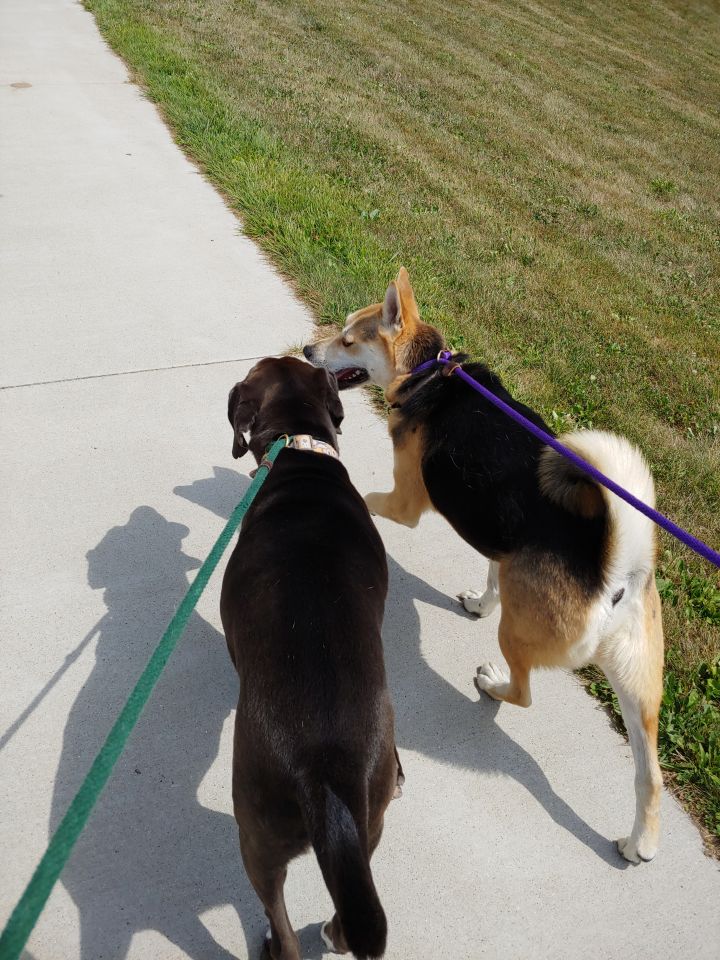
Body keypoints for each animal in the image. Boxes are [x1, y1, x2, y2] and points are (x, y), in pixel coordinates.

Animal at [219, 356, 400, 956]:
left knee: (278, 918)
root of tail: (324, 770)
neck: (300, 452)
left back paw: (277, 943)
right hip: (371, 819)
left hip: (256, 834)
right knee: (354, 912)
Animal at [304, 268, 664, 864]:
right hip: (638, 687)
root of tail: (611, 572)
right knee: (649, 777)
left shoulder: (406, 503)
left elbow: (366, 496)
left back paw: (493, 685)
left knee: (524, 693)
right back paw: (639, 843)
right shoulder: (500, 543)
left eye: (349, 341)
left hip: (518, 634)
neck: (429, 373)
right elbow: (493, 573)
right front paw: (478, 599)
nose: (309, 350)